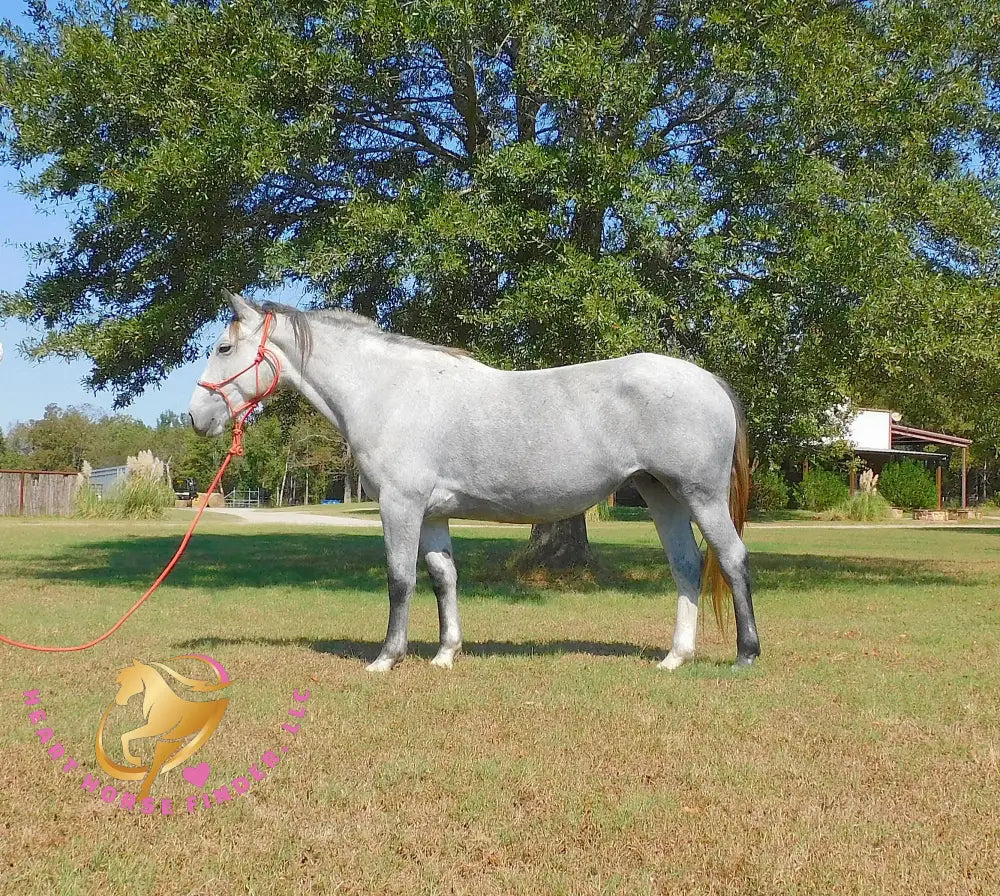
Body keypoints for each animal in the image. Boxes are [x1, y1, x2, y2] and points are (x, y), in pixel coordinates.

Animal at [191, 292, 760, 672]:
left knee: (731, 559)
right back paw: (675, 658)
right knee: (687, 566)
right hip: (662, 495)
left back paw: (746, 655)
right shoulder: (433, 513)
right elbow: (444, 577)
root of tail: (708, 379)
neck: (389, 390)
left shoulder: (401, 506)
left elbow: (400, 579)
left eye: (222, 348)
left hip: (700, 496)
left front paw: (386, 658)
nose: (196, 417)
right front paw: (446, 653)